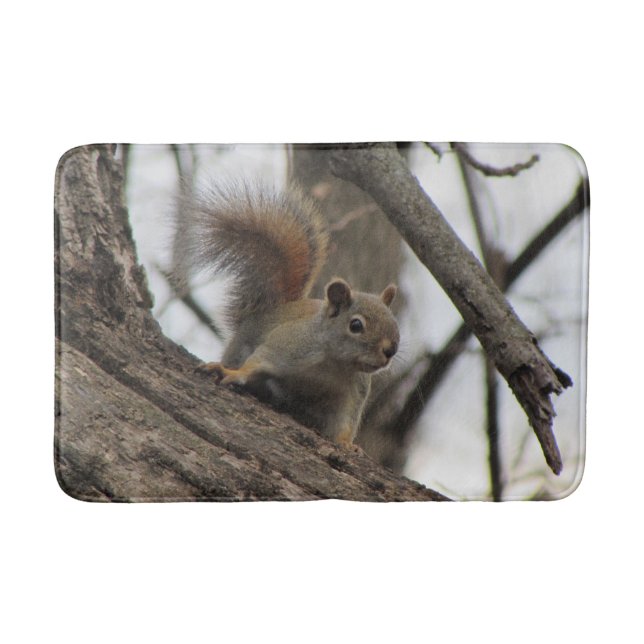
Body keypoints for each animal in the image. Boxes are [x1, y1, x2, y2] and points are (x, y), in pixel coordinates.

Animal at [176, 180, 400, 449]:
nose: (390, 350)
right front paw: (233, 373)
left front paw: (347, 444)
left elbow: (346, 421)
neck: (334, 364)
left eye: (394, 321)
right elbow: (259, 361)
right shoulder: (290, 346)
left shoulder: (354, 391)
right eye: (356, 325)